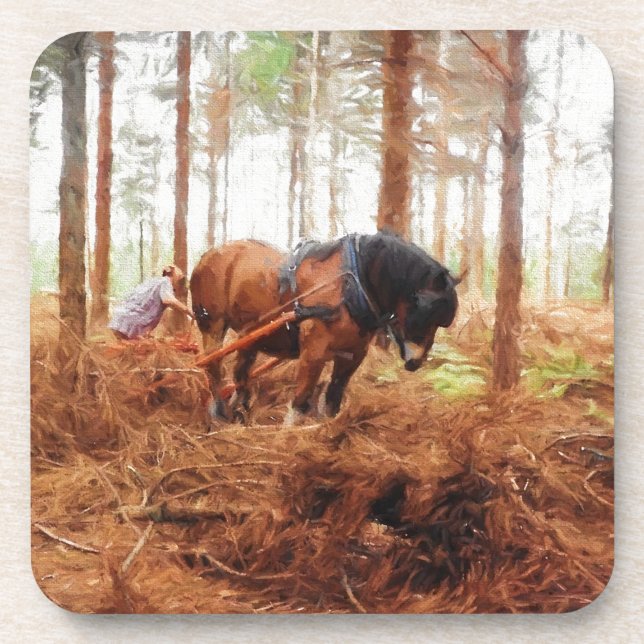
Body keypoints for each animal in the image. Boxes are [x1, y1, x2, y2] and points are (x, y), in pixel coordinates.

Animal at [189, 232, 460, 422]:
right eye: (424, 310)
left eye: (443, 321)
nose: (416, 362)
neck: (350, 282)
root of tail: (209, 254)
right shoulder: (314, 353)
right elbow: (300, 402)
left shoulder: (352, 355)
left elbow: (332, 400)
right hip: (213, 325)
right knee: (213, 365)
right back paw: (220, 412)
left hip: (251, 334)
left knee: (241, 374)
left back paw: (240, 410)